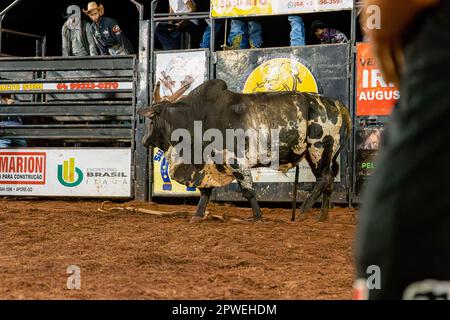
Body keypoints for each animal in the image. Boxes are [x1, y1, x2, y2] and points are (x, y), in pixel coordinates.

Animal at [138, 79, 352, 222]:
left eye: (151, 120)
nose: (143, 140)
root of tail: (337, 104)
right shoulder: (209, 165)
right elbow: (206, 191)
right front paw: (197, 216)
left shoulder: (237, 161)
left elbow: (248, 190)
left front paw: (257, 216)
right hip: (322, 154)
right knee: (328, 181)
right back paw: (322, 216)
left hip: (319, 149)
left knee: (324, 179)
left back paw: (302, 211)